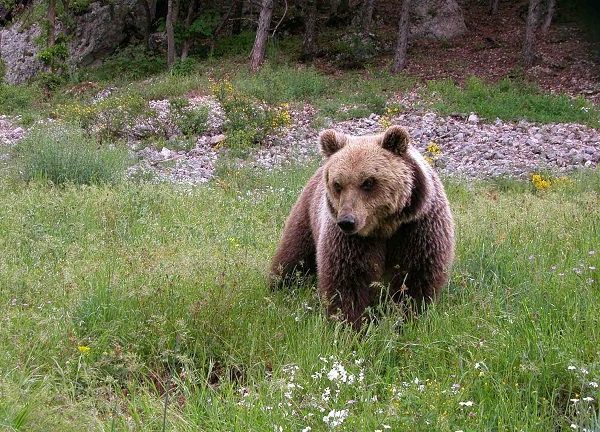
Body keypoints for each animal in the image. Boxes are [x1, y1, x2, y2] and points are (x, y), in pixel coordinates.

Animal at [270, 125, 452, 328]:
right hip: (307, 214)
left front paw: (406, 318)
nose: (347, 221)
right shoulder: (350, 240)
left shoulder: (417, 227)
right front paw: (350, 324)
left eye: (368, 182)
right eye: (337, 184)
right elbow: (348, 278)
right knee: (293, 255)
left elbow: (414, 276)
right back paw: (277, 284)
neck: (385, 227)